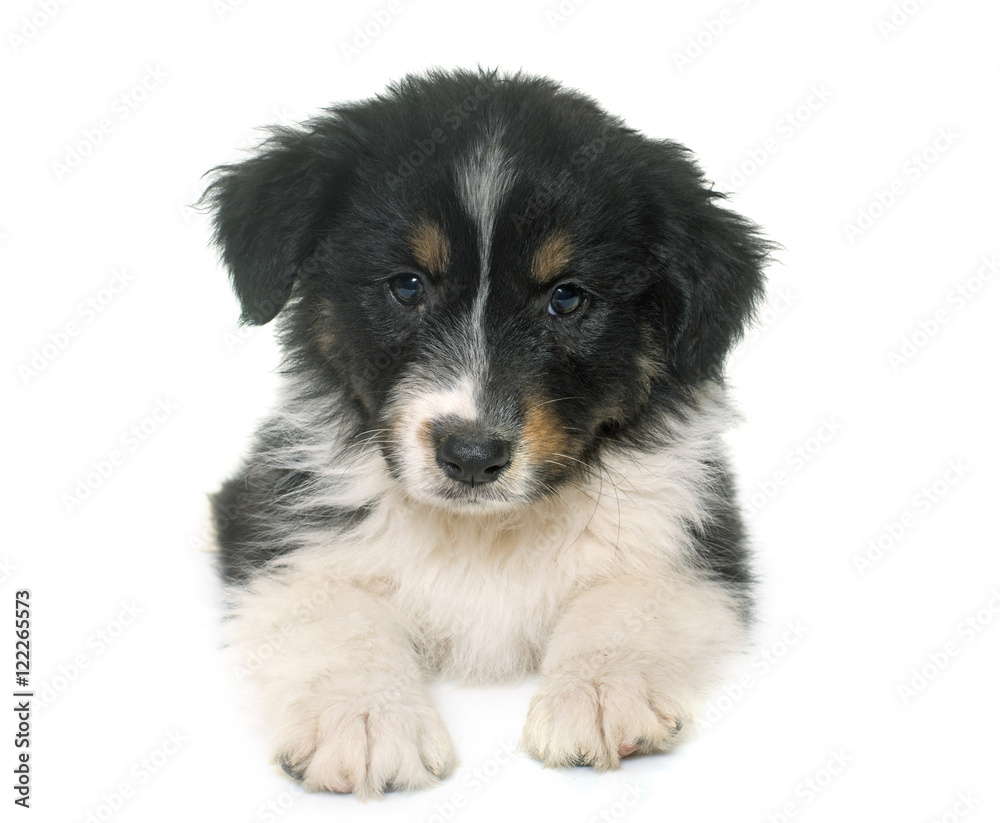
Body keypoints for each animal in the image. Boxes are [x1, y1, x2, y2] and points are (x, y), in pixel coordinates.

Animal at [201, 67, 764, 800]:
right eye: (407, 285)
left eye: (567, 297)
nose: (470, 456)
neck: (483, 531)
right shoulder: (275, 517)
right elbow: (334, 610)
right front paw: (364, 716)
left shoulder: (695, 533)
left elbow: (630, 595)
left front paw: (599, 690)